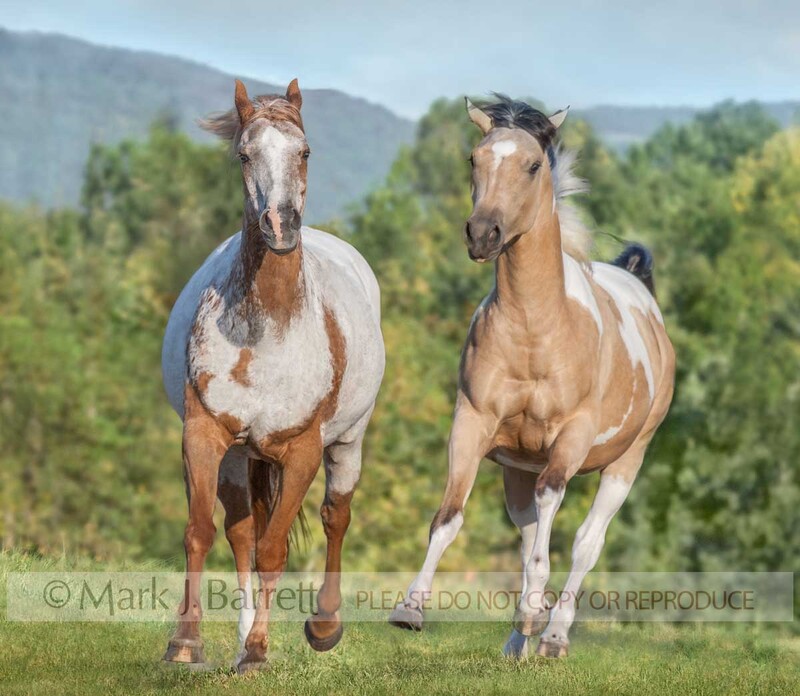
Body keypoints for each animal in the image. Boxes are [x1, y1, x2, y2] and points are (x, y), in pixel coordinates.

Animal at [160, 78, 385, 672]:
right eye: (244, 154)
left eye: (304, 152)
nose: (281, 226)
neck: (266, 331)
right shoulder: (206, 433)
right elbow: (202, 533)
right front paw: (186, 643)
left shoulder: (301, 450)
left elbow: (275, 549)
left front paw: (260, 650)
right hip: (241, 458)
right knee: (241, 531)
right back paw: (240, 639)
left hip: (347, 442)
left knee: (335, 516)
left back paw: (324, 626)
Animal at [389, 95, 675, 659]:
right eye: (474, 159)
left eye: (534, 165)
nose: (483, 234)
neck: (535, 329)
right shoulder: (472, 425)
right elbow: (449, 517)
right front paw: (411, 608)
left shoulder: (571, 440)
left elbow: (553, 515)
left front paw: (535, 615)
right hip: (517, 467)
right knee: (527, 535)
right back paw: (517, 643)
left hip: (628, 459)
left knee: (587, 542)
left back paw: (553, 636)